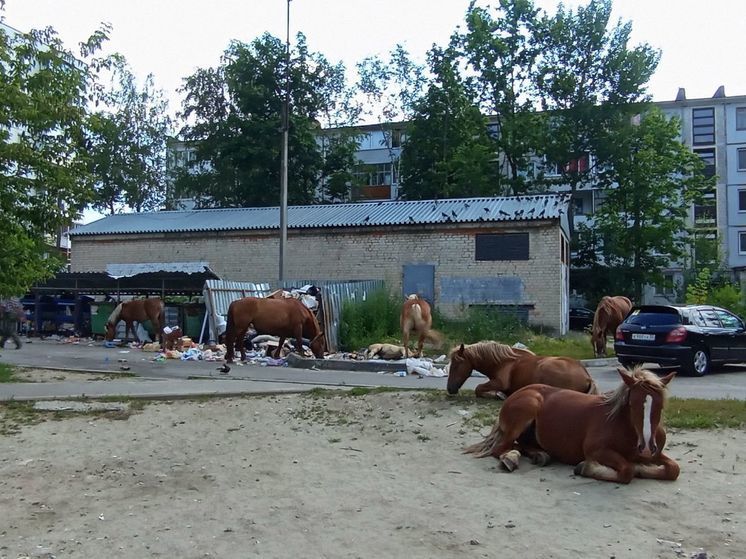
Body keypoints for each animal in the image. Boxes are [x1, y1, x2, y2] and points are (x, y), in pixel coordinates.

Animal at [444, 342, 596, 398]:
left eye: (456, 365)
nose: (450, 389)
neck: (503, 362)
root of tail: (587, 377)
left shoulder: (499, 383)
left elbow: (478, 388)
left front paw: (498, 395)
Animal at [462, 368, 676, 486]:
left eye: (660, 405)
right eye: (632, 404)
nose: (646, 448)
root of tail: (517, 393)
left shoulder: (656, 453)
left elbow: (674, 469)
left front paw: (643, 466)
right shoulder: (596, 450)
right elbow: (627, 471)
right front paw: (586, 468)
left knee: (520, 445)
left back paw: (540, 455)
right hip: (526, 410)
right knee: (502, 448)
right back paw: (511, 459)